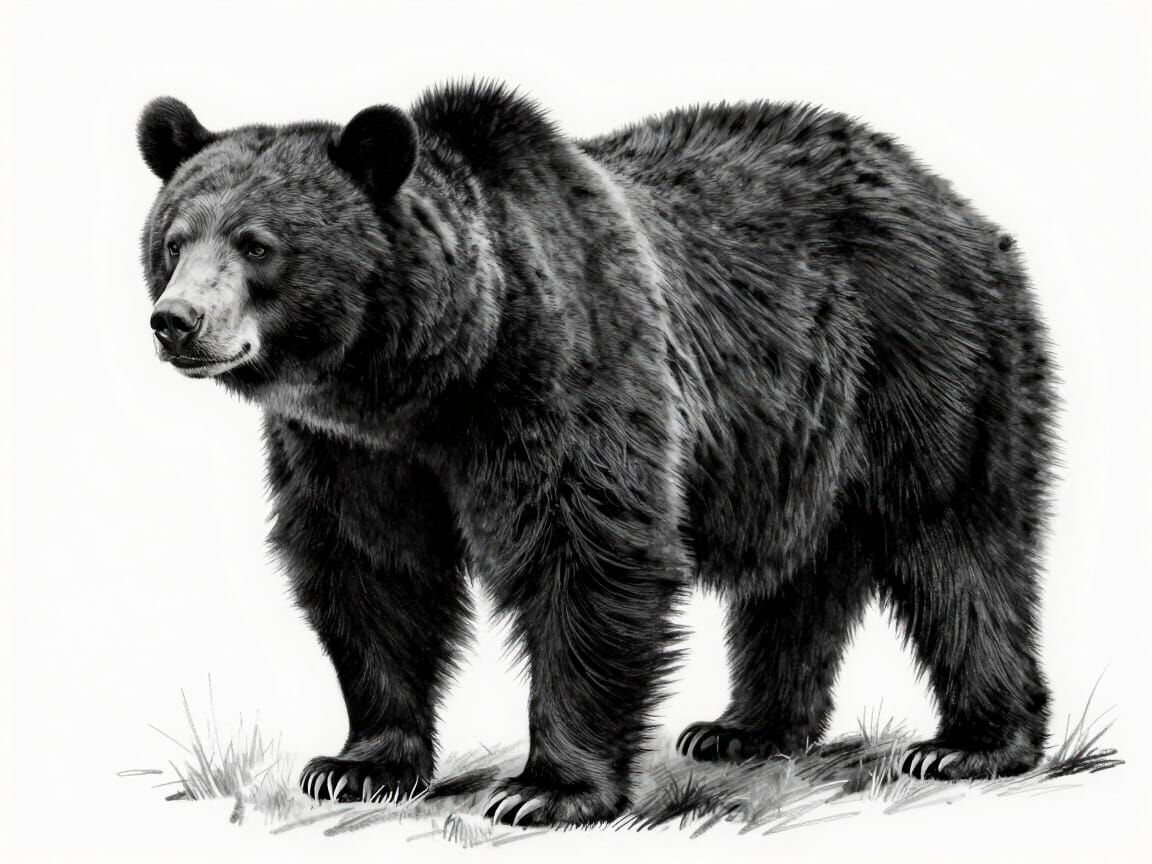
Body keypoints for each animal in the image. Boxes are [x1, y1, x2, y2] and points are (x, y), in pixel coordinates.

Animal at [137, 80, 1054, 826]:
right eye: (174, 240)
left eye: (257, 243)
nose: (176, 322)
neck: (430, 378)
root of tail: (946, 195)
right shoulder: (350, 451)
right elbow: (372, 571)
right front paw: (356, 765)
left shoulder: (566, 370)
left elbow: (587, 550)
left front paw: (547, 789)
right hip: (798, 437)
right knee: (801, 574)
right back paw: (745, 729)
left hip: (925, 358)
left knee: (957, 545)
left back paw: (972, 742)